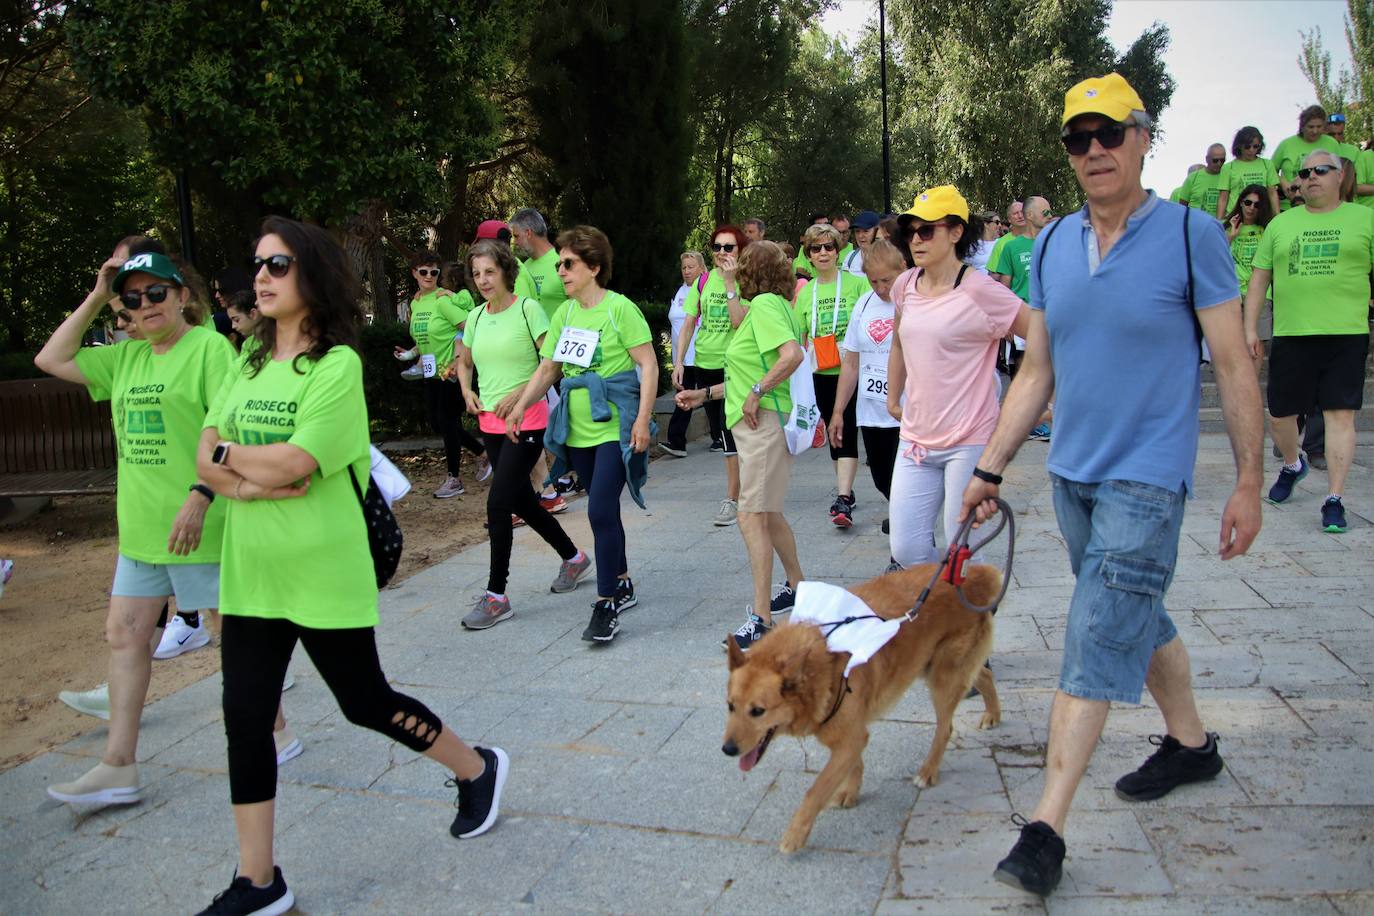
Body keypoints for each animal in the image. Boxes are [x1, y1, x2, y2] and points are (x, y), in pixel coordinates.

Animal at [719, 563, 1000, 856]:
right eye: (731, 706)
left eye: (758, 711)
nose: (727, 749)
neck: (823, 660)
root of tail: (975, 575)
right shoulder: (848, 739)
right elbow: (854, 766)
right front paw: (851, 792)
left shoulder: (850, 739)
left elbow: (816, 791)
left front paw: (795, 835)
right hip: (933, 666)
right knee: (985, 676)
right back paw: (993, 714)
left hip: (943, 679)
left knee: (946, 728)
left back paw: (928, 770)